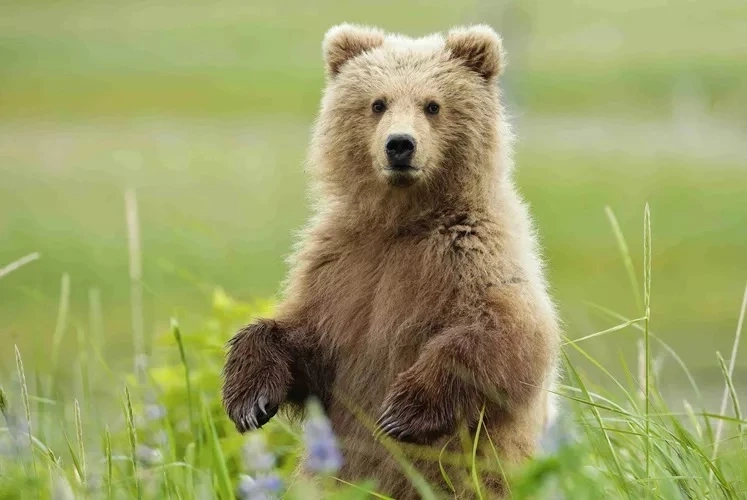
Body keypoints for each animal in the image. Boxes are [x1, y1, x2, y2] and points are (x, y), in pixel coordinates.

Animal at [222, 24, 560, 499]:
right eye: (377, 102)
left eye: (432, 104)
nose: (400, 144)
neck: (401, 221)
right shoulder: (343, 268)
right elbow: (302, 339)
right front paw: (248, 400)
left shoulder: (471, 255)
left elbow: (505, 334)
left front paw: (401, 412)